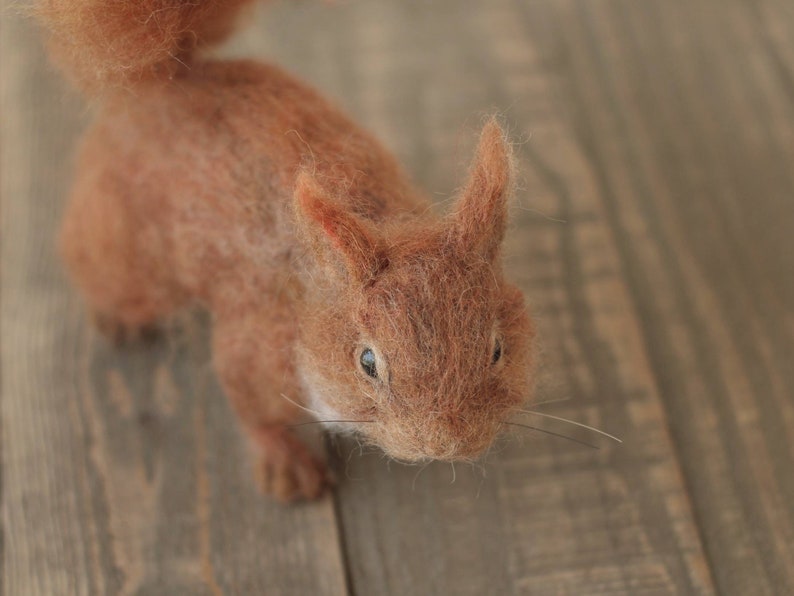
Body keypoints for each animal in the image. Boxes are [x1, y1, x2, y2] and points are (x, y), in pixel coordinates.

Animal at [37, 0, 532, 500]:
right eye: (367, 362)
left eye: (497, 350)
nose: (445, 445)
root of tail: (167, 78)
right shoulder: (259, 340)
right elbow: (250, 404)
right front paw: (284, 460)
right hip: (122, 246)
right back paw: (117, 319)